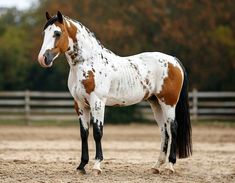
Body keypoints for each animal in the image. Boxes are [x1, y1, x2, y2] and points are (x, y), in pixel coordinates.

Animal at [37, 11, 192, 174]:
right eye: (44, 33)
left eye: (57, 33)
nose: (43, 58)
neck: (88, 62)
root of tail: (173, 60)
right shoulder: (79, 104)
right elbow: (84, 133)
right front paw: (81, 166)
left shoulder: (97, 102)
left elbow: (97, 132)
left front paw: (97, 166)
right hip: (156, 103)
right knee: (164, 131)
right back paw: (156, 166)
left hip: (168, 102)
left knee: (173, 128)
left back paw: (170, 166)